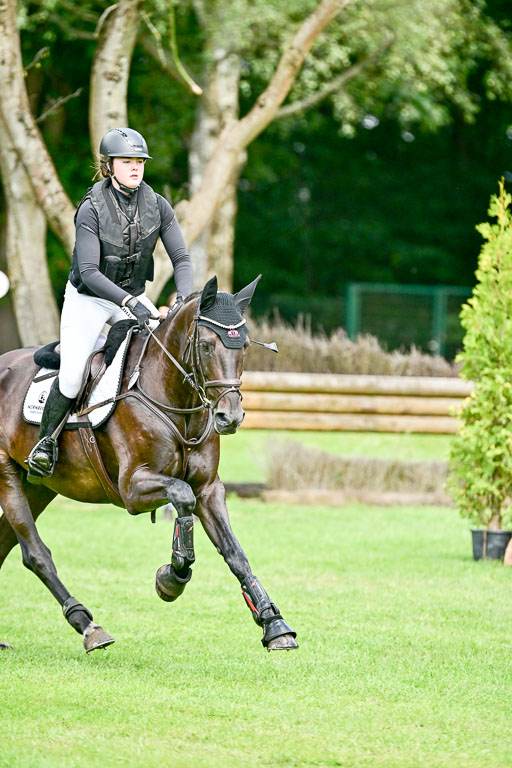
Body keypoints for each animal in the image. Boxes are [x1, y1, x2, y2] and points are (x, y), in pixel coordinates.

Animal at [0, 275, 297, 653]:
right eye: (205, 347)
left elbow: (234, 551)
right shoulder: (133, 488)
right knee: (35, 553)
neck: (176, 401)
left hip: (37, 486)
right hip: (8, 477)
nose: (229, 418)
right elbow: (182, 497)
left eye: (243, 345)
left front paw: (275, 624)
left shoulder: (209, 489)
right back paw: (88, 625)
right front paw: (172, 577)